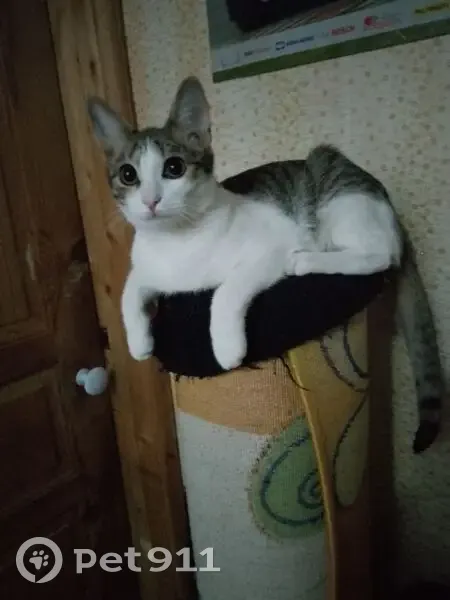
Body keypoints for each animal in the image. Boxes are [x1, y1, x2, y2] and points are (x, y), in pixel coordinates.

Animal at [88, 76, 444, 453]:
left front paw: (227, 347)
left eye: (174, 168)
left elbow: (225, 292)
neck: (177, 241)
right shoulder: (147, 267)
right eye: (128, 174)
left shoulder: (269, 249)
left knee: (380, 255)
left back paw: (307, 259)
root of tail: (388, 207)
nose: (151, 201)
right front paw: (139, 343)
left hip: (338, 194)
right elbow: (129, 292)